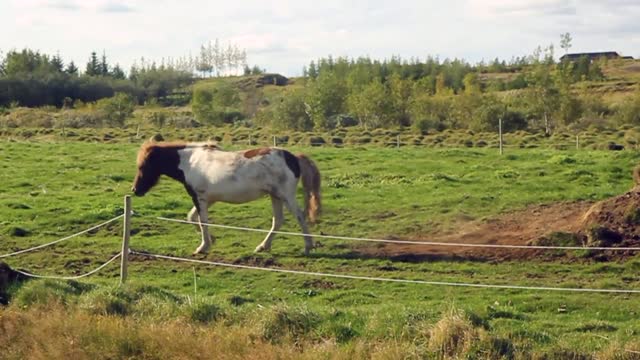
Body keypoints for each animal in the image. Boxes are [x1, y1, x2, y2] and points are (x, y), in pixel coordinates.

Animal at [131, 141, 322, 256]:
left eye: (143, 165)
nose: (135, 190)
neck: (190, 162)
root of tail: (294, 158)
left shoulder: (200, 198)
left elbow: (202, 221)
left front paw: (203, 247)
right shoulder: (208, 199)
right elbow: (192, 217)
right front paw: (211, 240)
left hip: (285, 196)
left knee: (300, 216)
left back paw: (308, 246)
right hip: (275, 196)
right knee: (278, 221)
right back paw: (263, 246)